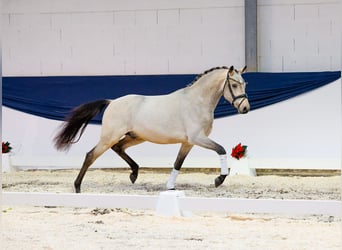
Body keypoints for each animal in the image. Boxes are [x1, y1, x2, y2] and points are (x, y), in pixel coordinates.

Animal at [54, 65, 250, 192]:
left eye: (245, 84)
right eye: (234, 85)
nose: (245, 108)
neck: (196, 102)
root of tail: (112, 102)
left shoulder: (188, 143)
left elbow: (178, 163)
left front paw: (170, 186)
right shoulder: (197, 138)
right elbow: (221, 149)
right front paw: (219, 179)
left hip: (135, 136)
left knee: (118, 148)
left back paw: (134, 174)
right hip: (110, 136)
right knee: (91, 155)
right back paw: (77, 187)